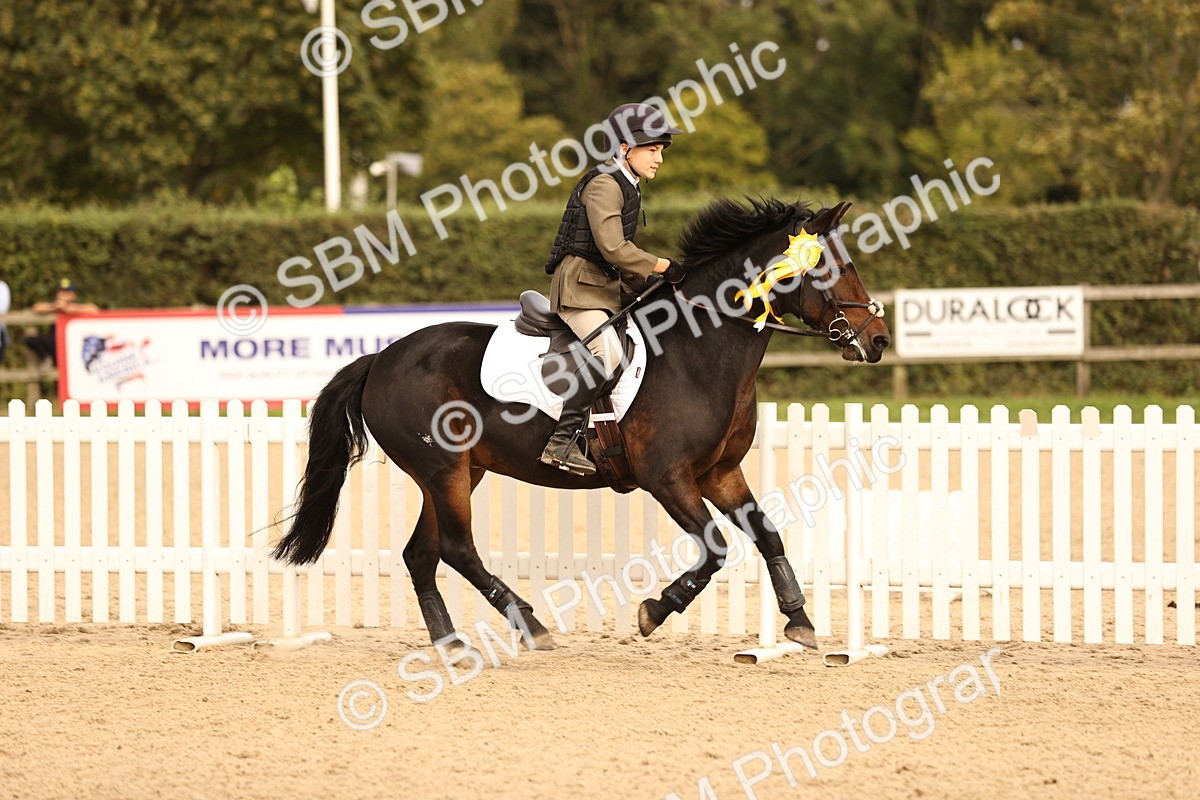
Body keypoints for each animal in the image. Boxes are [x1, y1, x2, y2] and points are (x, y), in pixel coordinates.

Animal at [272, 198, 891, 652]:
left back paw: (451, 644)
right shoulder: (667, 477)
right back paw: (530, 625)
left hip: (455, 472)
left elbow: (766, 533)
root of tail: (381, 357)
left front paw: (799, 621)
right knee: (456, 548)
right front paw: (654, 612)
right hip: (442, 468)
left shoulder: (719, 473)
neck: (700, 348)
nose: (879, 340)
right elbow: (715, 549)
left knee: (422, 555)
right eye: (830, 266)